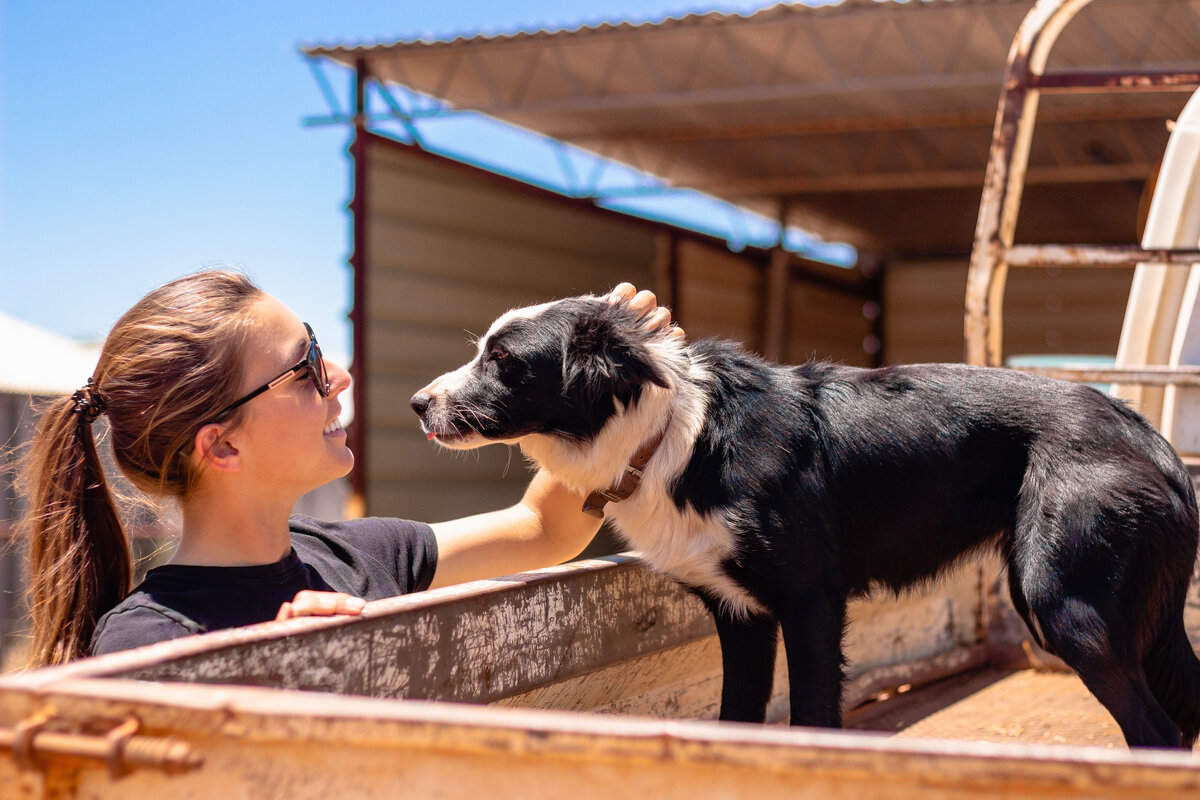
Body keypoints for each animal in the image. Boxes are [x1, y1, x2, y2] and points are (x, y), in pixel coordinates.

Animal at [410, 296, 1200, 753]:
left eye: (504, 360)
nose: (418, 403)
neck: (673, 435)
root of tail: (1144, 433)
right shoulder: (741, 616)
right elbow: (737, 724)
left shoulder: (811, 602)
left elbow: (813, 721)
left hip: (1062, 605)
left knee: (1159, 736)